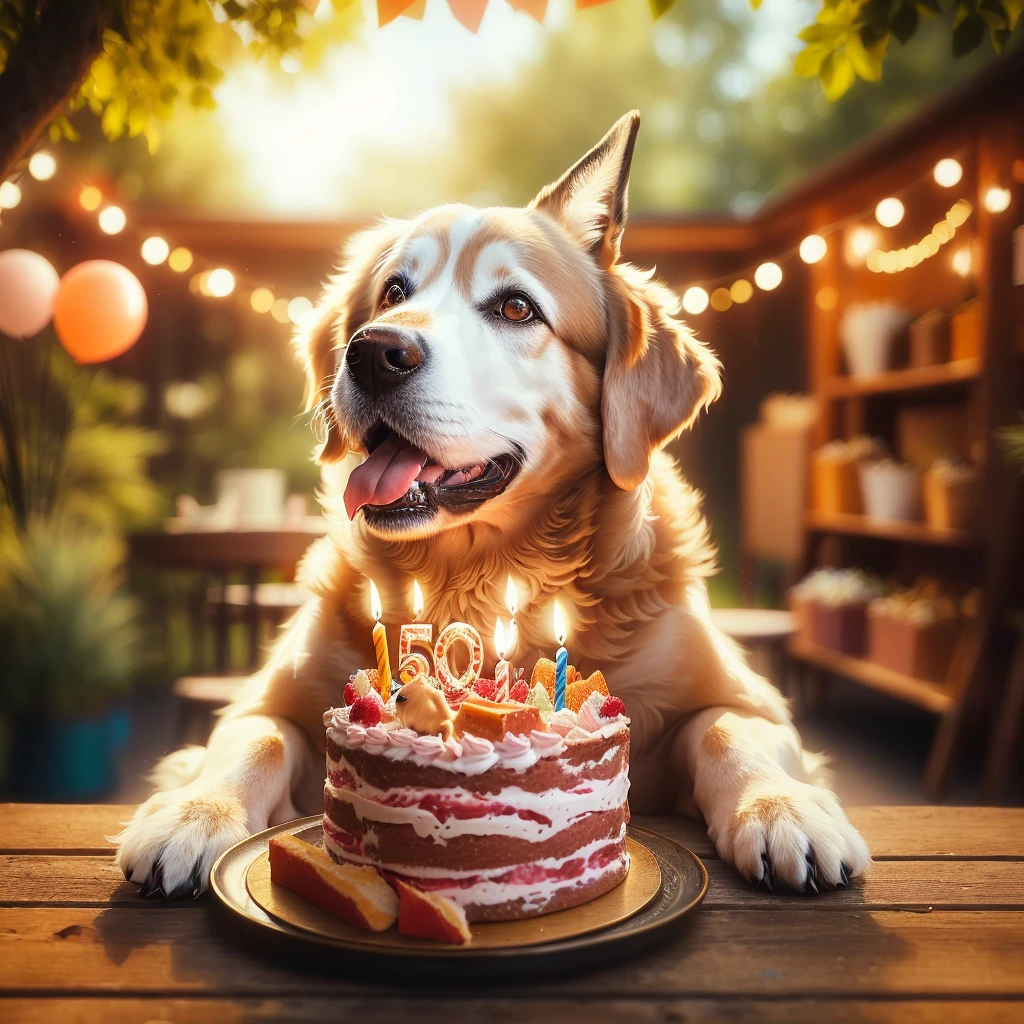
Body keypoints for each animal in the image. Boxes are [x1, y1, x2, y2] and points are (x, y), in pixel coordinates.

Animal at [117, 110, 872, 897]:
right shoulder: (261, 701)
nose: (373, 352)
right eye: (393, 292)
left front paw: (783, 809)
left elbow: (728, 728)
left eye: (516, 307)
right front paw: (194, 814)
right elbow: (256, 740)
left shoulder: (746, 697)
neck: (480, 572)